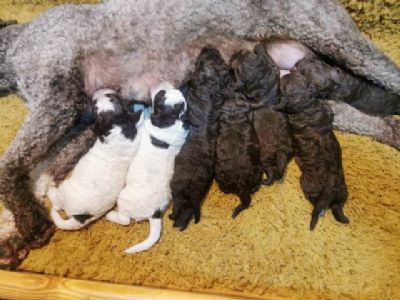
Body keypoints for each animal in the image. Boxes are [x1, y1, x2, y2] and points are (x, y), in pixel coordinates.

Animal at [47, 89, 144, 230]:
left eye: (94, 107)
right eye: (113, 97)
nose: (100, 90)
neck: (115, 124)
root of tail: (80, 218)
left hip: (64, 191)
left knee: (57, 204)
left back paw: (51, 191)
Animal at [105, 82, 188, 253]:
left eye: (159, 96)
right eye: (165, 92)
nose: (161, 83)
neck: (171, 120)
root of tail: (154, 214)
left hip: (123, 199)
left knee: (125, 220)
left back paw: (111, 215)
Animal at [228, 44, 294, 185]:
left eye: (235, 69)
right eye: (244, 52)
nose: (235, 53)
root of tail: (281, 150)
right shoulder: (273, 70)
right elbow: (269, 60)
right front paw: (259, 47)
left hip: (265, 155)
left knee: (270, 169)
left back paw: (266, 179)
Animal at [276, 71, 348, 230]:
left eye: (283, 85)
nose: (287, 72)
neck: (306, 105)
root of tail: (330, 189)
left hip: (309, 185)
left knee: (318, 204)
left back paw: (317, 213)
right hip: (342, 192)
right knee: (337, 207)